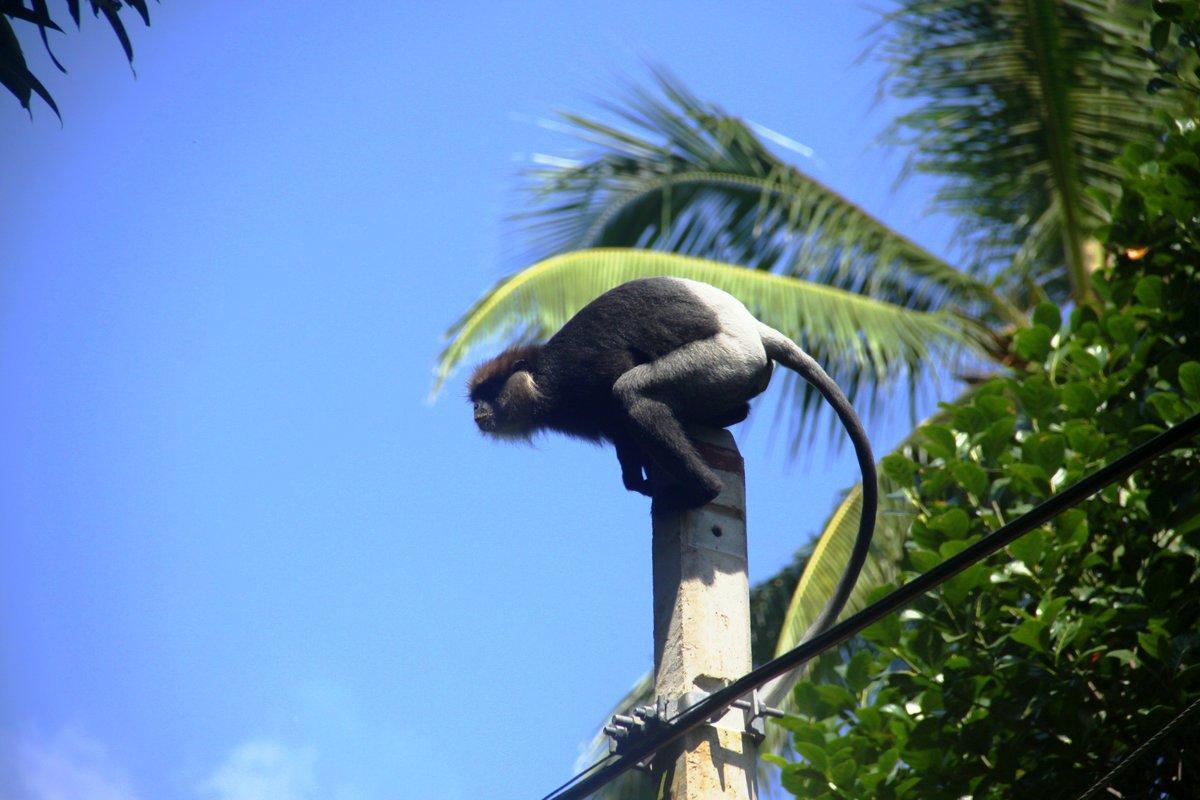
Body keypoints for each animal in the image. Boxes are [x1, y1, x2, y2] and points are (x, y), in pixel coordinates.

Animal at [470, 275, 883, 638]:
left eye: (487, 394)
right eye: (475, 400)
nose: (476, 412)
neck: (543, 381)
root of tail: (754, 329)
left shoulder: (580, 374)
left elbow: (623, 394)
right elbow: (623, 439)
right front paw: (636, 479)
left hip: (724, 359)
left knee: (633, 392)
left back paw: (702, 488)